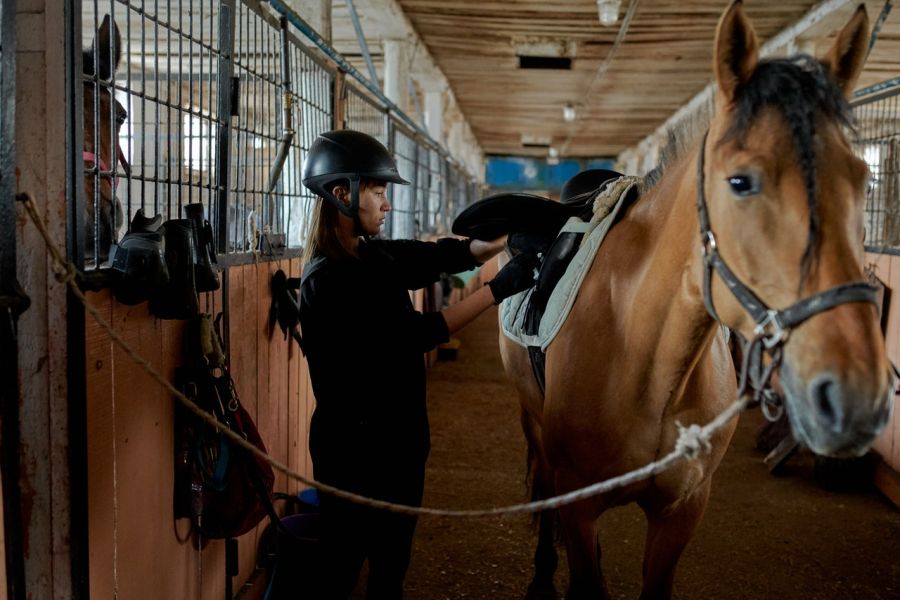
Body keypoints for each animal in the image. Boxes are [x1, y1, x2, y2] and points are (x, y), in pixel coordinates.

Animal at [498, 3, 893, 599]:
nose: (855, 398)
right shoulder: (579, 507)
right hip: (534, 426)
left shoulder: (682, 512)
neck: (648, 364)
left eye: (865, 178)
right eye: (740, 182)